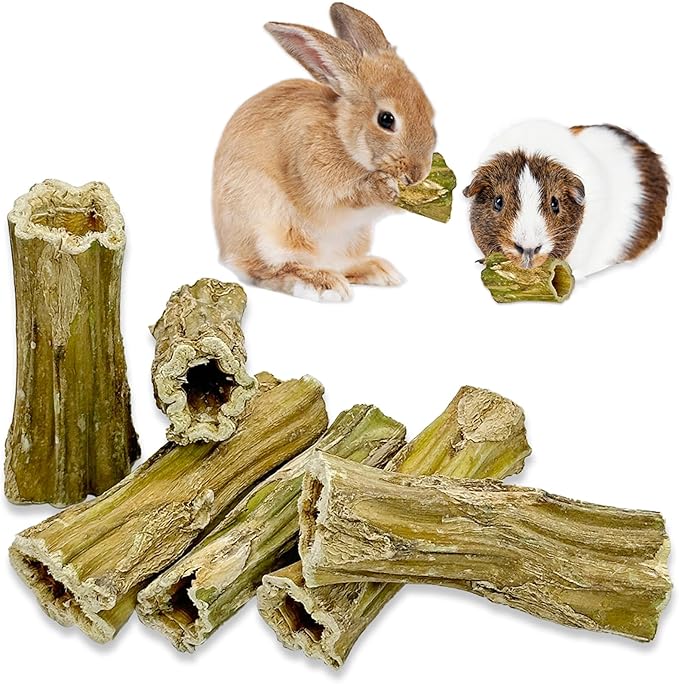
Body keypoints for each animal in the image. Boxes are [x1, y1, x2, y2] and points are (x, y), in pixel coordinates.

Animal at [212, 3, 436, 302]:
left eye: (429, 111)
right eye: (386, 119)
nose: (417, 173)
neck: (343, 138)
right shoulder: (315, 177)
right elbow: (344, 195)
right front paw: (383, 187)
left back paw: (377, 271)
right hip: (267, 229)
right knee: (265, 271)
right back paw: (322, 283)